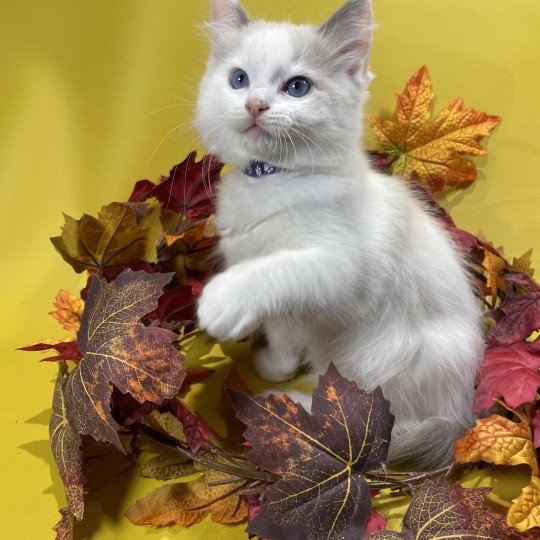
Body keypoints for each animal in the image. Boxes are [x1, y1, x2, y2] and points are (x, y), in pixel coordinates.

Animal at [196, 0, 484, 466]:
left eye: (297, 87)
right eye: (238, 80)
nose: (255, 105)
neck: (273, 178)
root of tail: (460, 419)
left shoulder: (338, 268)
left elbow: (274, 271)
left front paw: (222, 304)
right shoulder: (287, 304)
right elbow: (281, 329)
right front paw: (273, 364)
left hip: (377, 360)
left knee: (375, 429)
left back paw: (292, 410)